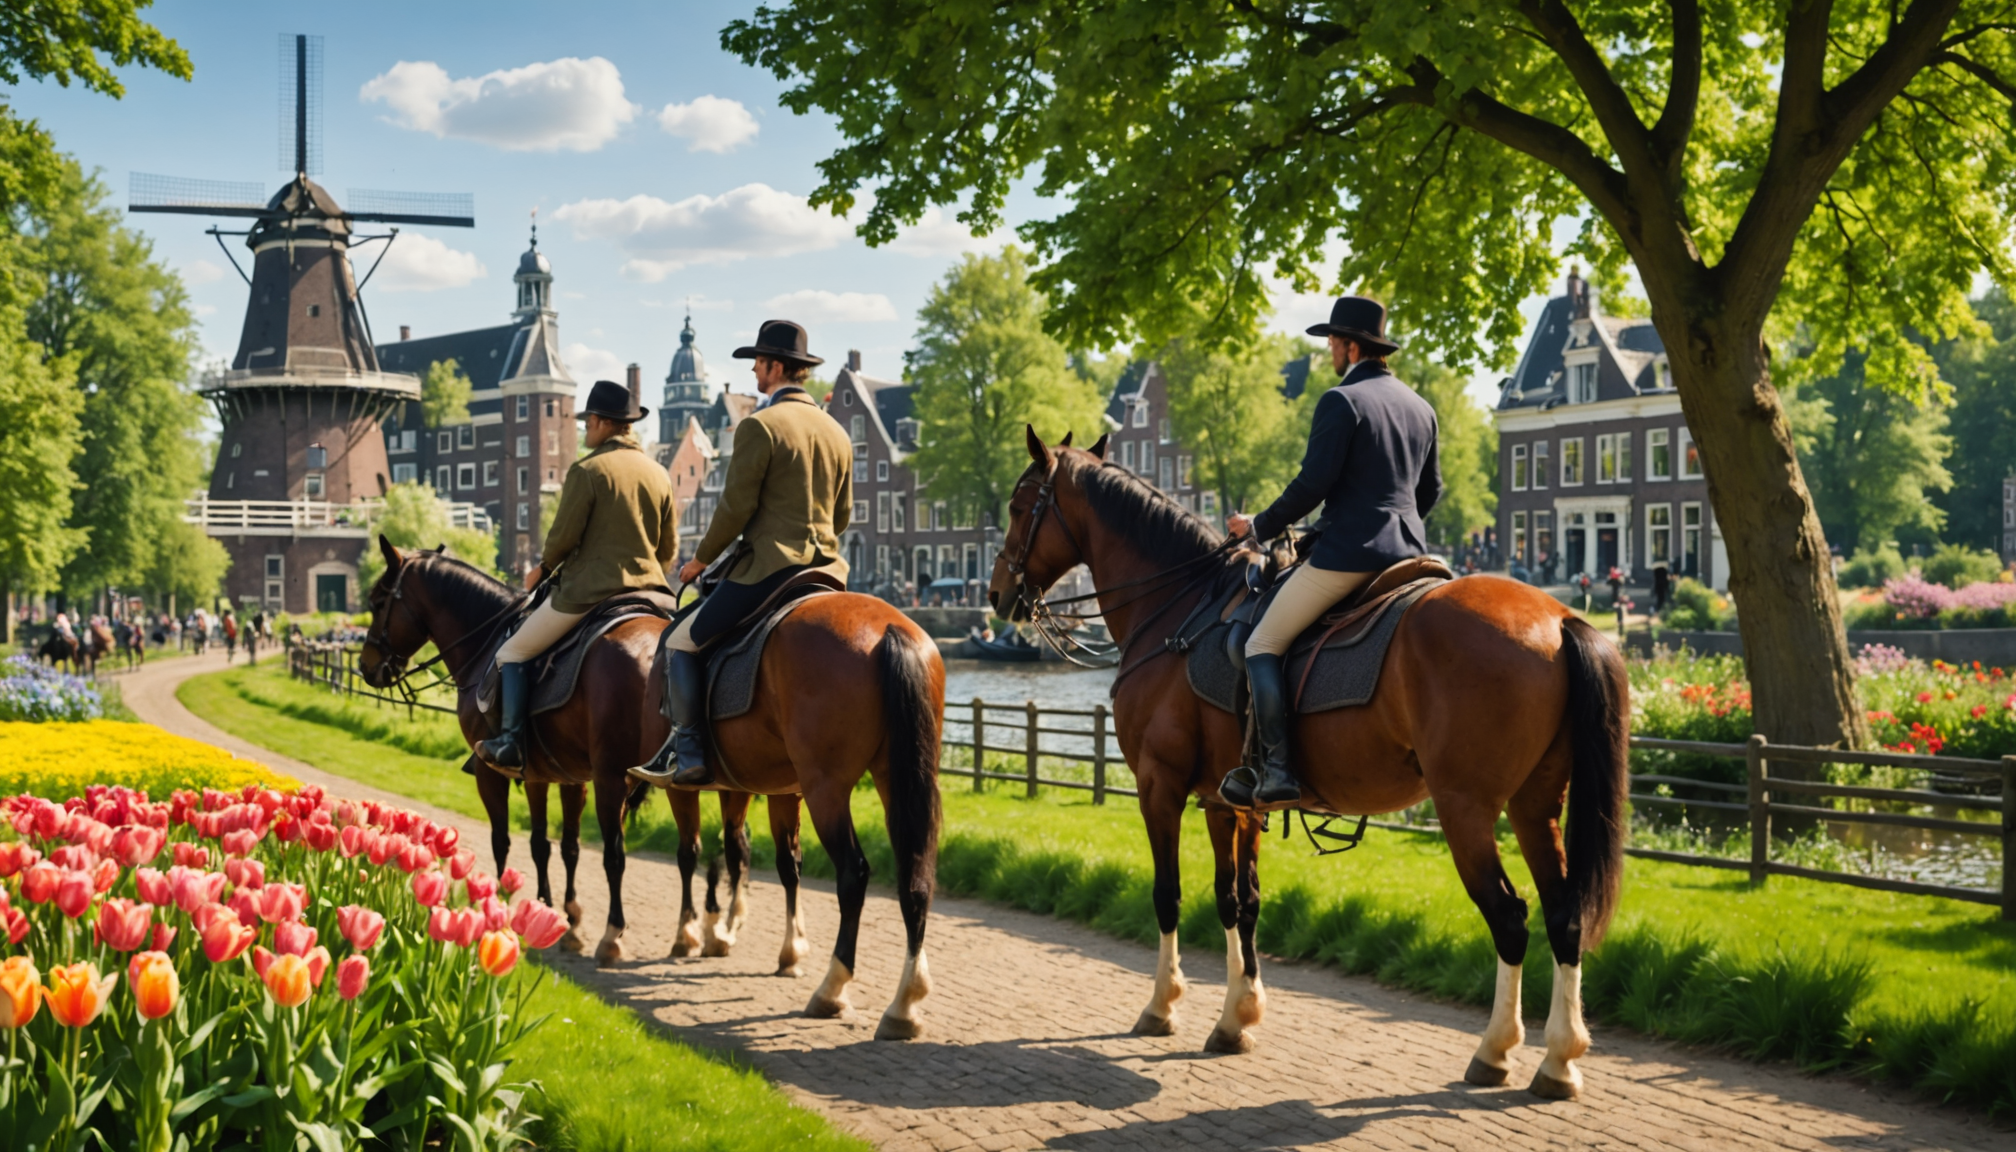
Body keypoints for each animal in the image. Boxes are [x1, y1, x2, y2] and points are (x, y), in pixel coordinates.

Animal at [358, 538, 944, 1037]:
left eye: (376, 599)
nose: (367, 667)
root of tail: (889, 629)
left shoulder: (506, 773)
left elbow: (522, 842)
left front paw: (515, 912)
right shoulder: (567, 776)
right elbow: (564, 846)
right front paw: (561, 916)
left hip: (804, 785)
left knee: (845, 873)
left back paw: (818, 982)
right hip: (865, 780)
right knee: (894, 873)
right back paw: (893, 997)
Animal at [989, 430, 1628, 1099]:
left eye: (1017, 505)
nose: (996, 592)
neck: (1177, 610)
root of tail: (1559, 617)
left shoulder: (1158, 786)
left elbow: (1169, 894)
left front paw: (1163, 1007)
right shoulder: (1228, 799)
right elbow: (1238, 900)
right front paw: (1237, 1017)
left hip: (1467, 810)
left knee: (1509, 918)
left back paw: (1495, 1051)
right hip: (1535, 805)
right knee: (1564, 917)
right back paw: (1559, 1058)